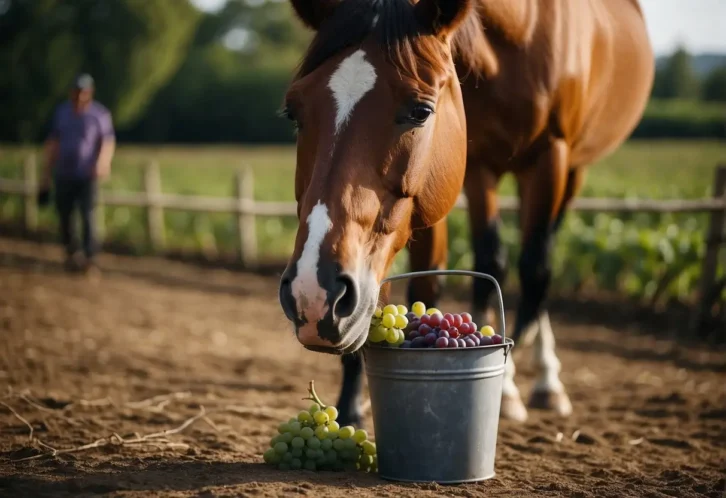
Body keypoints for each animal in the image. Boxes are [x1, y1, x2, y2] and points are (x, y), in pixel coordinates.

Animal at [278, 0, 656, 424]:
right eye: (293, 111)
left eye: (421, 111)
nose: (313, 293)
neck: (521, 33)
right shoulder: (470, 167)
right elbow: (446, 275)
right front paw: (351, 404)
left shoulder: (549, 156)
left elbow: (528, 267)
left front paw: (506, 386)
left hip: (571, 171)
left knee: (541, 260)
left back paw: (547, 381)